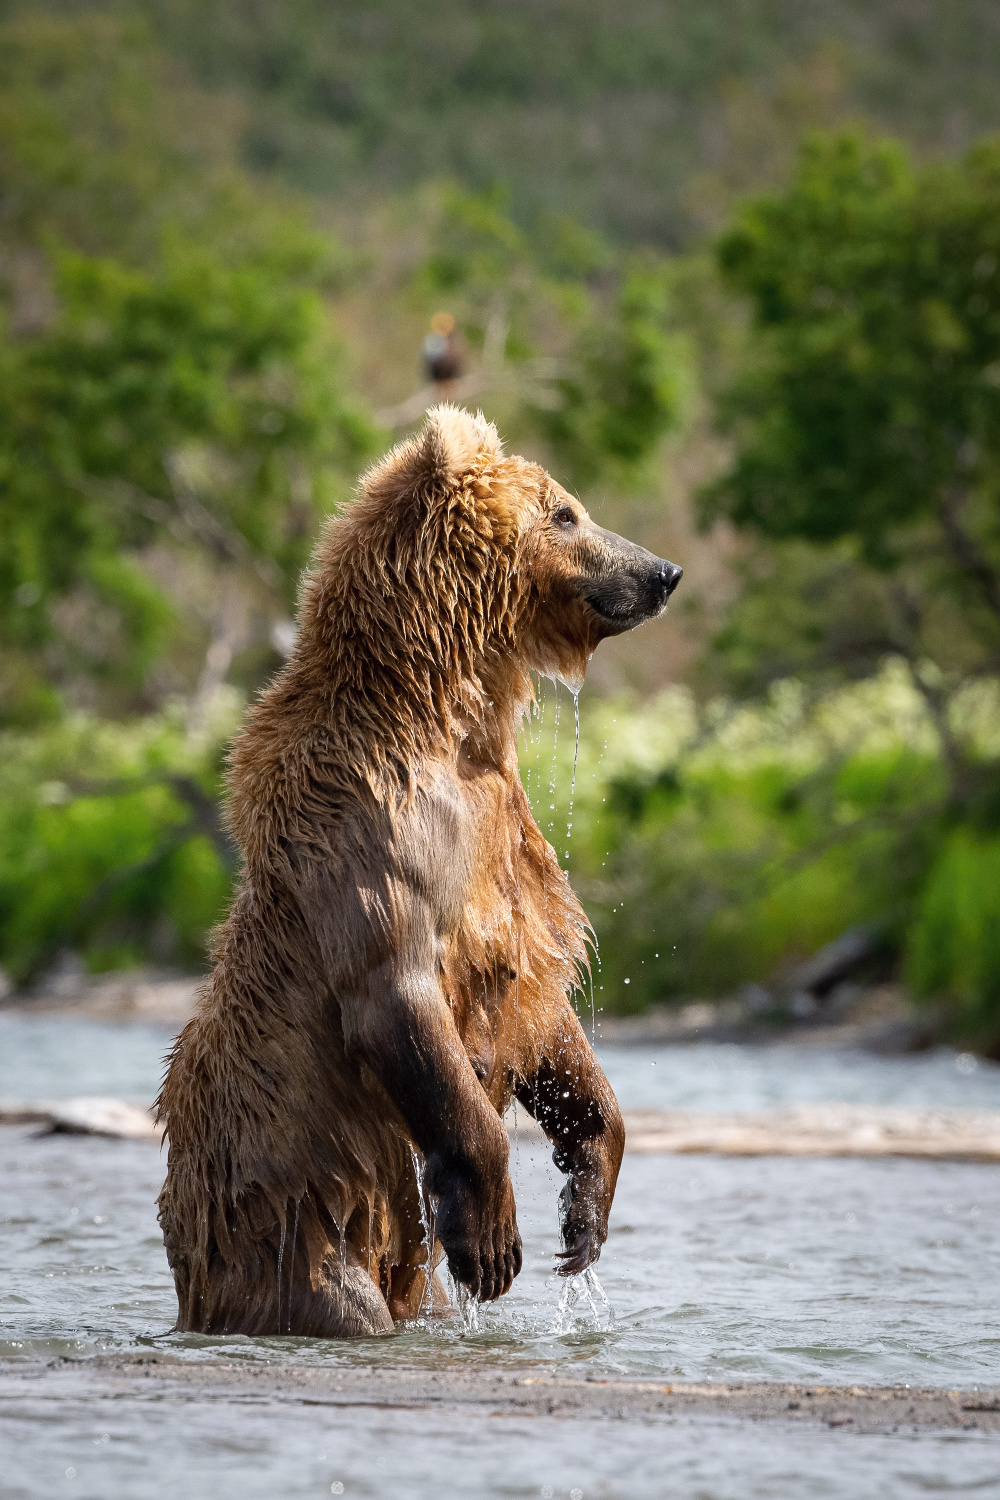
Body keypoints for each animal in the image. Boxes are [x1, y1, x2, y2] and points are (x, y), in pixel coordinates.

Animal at [156, 408, 683, 1338]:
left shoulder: (503, 847)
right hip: (294, 1220)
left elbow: (539, 999)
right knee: (336, 1298)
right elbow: (396, 991)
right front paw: (494, 1242)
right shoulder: (376, 831)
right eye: (565, 513)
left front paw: (584, 1207)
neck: (446, 715)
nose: (663, 572)